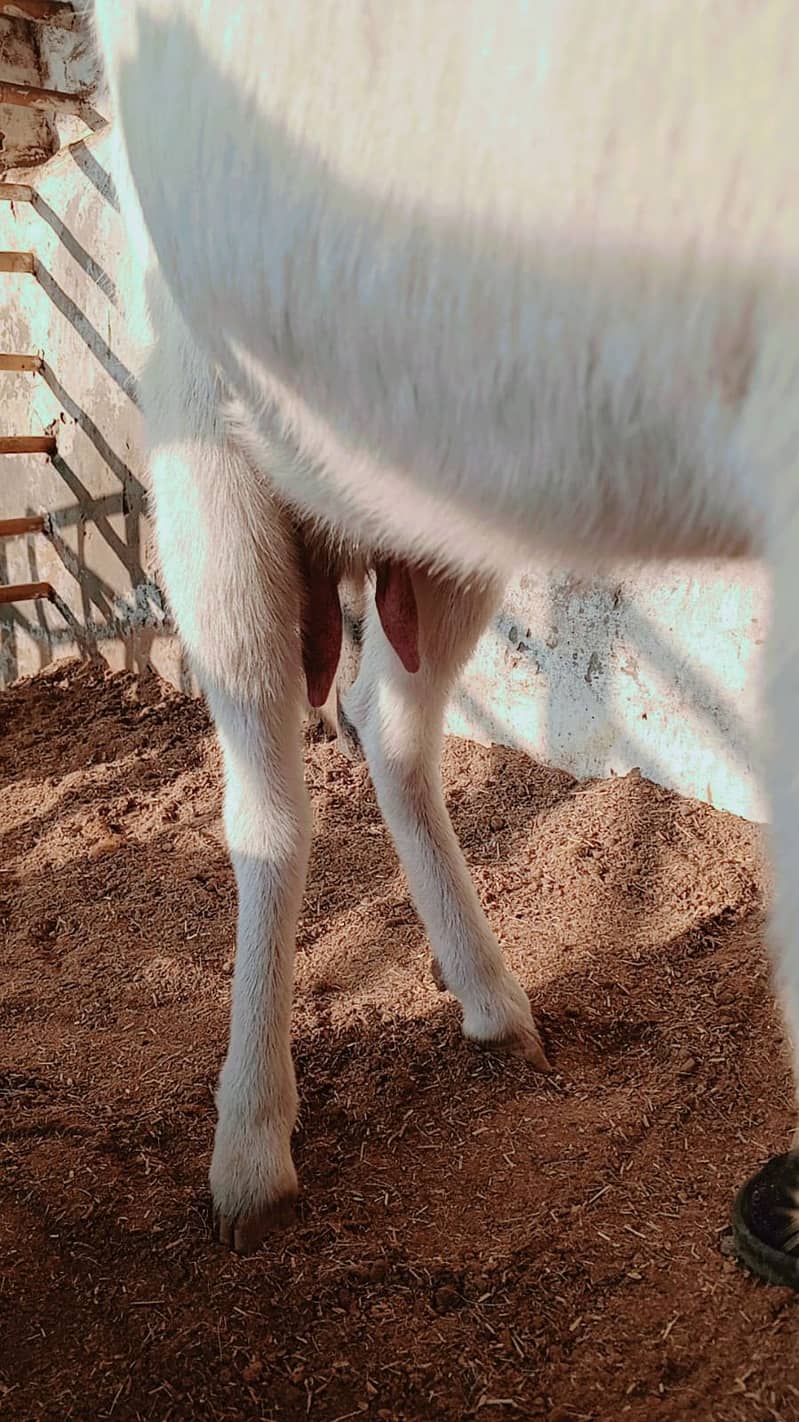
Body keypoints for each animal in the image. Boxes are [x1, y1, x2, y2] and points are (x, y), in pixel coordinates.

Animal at [91, 0, 796, 1251]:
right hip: (197, 418)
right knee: (267, 799)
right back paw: (249, 1143)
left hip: (451, 503)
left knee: (390, 724)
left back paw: (489, 996)